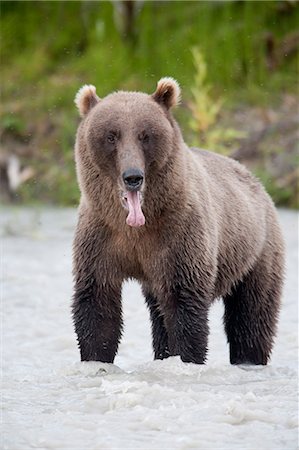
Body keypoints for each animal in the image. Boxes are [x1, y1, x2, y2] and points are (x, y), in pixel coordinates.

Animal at [71, 77, 284, 366]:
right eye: (111, 135)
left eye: (145, 135)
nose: (133, 176)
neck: (137, 226)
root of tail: (255, 179)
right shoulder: (101, 237)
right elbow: (97, 305)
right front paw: (96, 360)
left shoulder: (180, 235)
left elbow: (184, 305)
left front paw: (186, 358)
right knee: (159, 315)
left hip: (257, 249)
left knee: (251, 315)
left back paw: (249, 358)